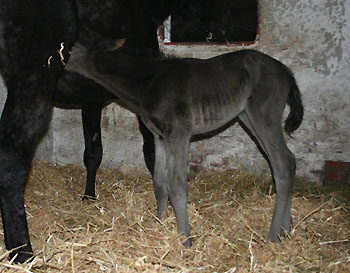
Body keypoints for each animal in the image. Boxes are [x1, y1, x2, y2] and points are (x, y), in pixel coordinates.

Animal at [66, 43, 304, 246]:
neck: (149, 82)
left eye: (67, 49)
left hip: (264, 115)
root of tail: (286, 71)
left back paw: (273, 236)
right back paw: (286, 230)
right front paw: (159, 224)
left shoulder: (179, 134)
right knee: (289, 161)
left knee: (283, 164)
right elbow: (160, 183)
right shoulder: (160, 137)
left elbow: (177, 184)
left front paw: (186, 241)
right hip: (248, 117)